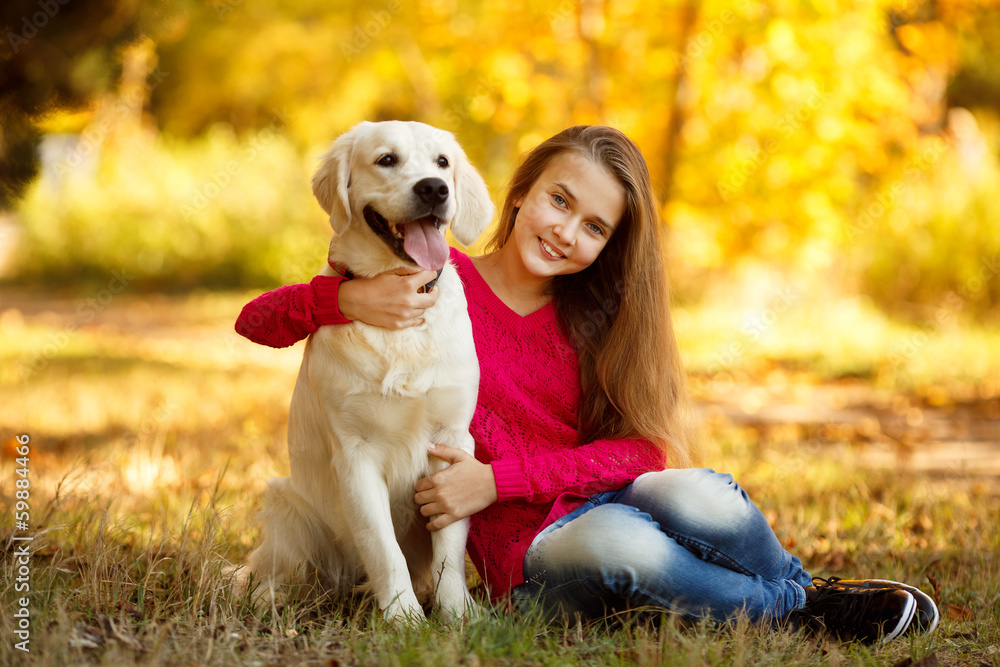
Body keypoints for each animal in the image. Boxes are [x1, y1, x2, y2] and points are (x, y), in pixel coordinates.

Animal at [228, 121, 492, 628]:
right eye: (386, 159)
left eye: (443, 162)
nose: (434, 188)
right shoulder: (355, 453)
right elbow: (382, 546)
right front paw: (404, 619)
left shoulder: (451, 443)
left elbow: (449, 545)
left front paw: (457, 614)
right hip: (286, 503)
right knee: (273, 572)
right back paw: (269, 596)